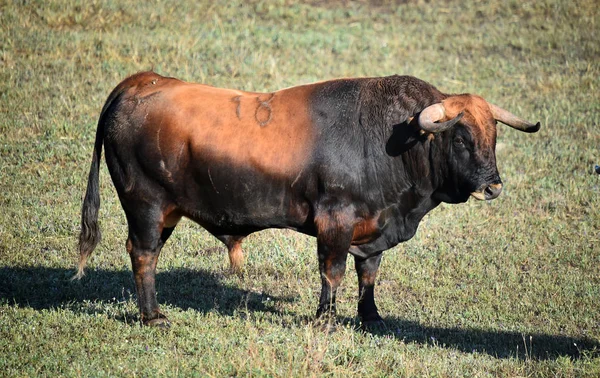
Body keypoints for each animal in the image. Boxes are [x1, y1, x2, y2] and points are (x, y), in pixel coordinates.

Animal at [75, 72, 540, 326]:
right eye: (460, 139)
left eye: (493, 136)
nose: (493, 187)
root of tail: (141, 82)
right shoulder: (335, 221)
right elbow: (332, 273)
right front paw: (327, 321)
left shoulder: (373, 227)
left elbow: (368, 274)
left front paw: (371, 317)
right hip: (147, 206)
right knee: (143, 255)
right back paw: (153, 316)